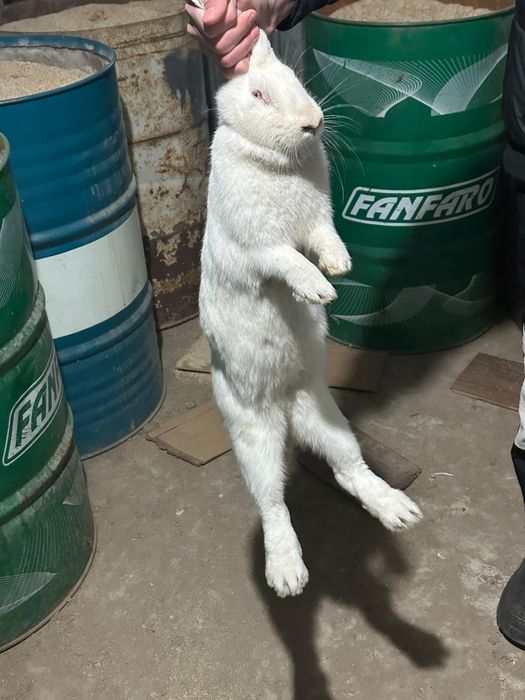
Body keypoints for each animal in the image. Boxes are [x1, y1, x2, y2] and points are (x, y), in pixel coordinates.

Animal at [199, 31, 423, 598]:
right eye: (258, 95)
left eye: (297, 81)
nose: (313, 123)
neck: (280, 161)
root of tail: (284, 406)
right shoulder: (260, 247)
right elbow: (289, 262)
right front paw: (319, 290)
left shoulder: (318, 223)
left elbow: (325, 240)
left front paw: (340, 267)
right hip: (250, 434)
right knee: (272, 501)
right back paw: (287, 576)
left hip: (329, 417)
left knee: (347, 470)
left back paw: (399, 512)